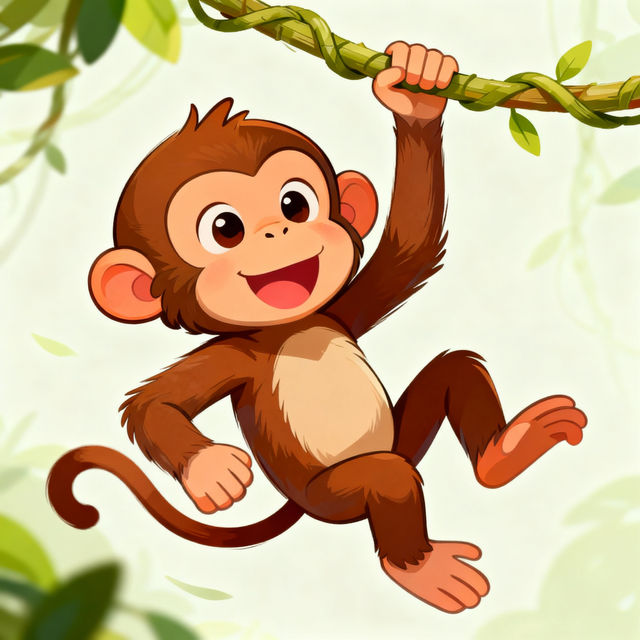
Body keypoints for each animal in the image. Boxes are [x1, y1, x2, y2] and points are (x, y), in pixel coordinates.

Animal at [48, 42, 587, 613]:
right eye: (225, 228)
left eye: (295, 203)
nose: (277, 230)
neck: (288, 328)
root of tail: (300, 507)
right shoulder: (236, 354)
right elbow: (153, 403)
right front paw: (212, 470)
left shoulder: (338, 311)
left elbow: (410, 246)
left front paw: (416, 89)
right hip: (336, 495)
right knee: (388, 479)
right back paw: (420, 569)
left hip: (400, 437)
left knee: (455, 370)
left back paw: (505, 454)